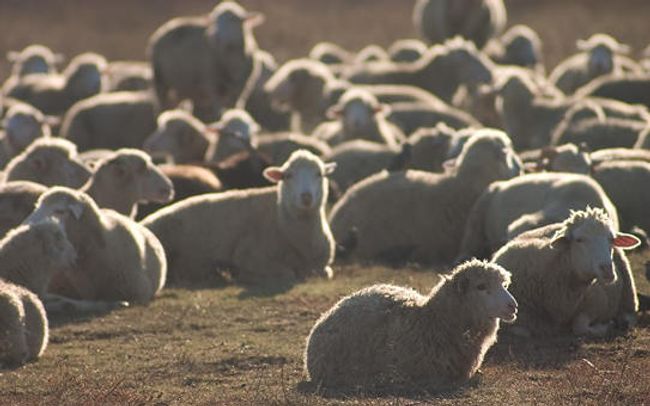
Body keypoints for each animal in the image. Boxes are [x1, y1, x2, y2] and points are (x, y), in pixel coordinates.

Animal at [141, 150, 336, 285]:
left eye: (319, 174)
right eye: (288, 176)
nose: (306, 197)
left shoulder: (321, 266)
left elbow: (326, 272)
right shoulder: (250, 256)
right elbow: (288, 274)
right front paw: (247, 276)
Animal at [492, 208, 640, 337]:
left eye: (611, 239)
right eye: (579, 239)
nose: (607, 269)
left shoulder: (596, 304)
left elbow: (580, 327)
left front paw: (605, 327)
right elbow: (522, 331)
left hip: (628, 293)